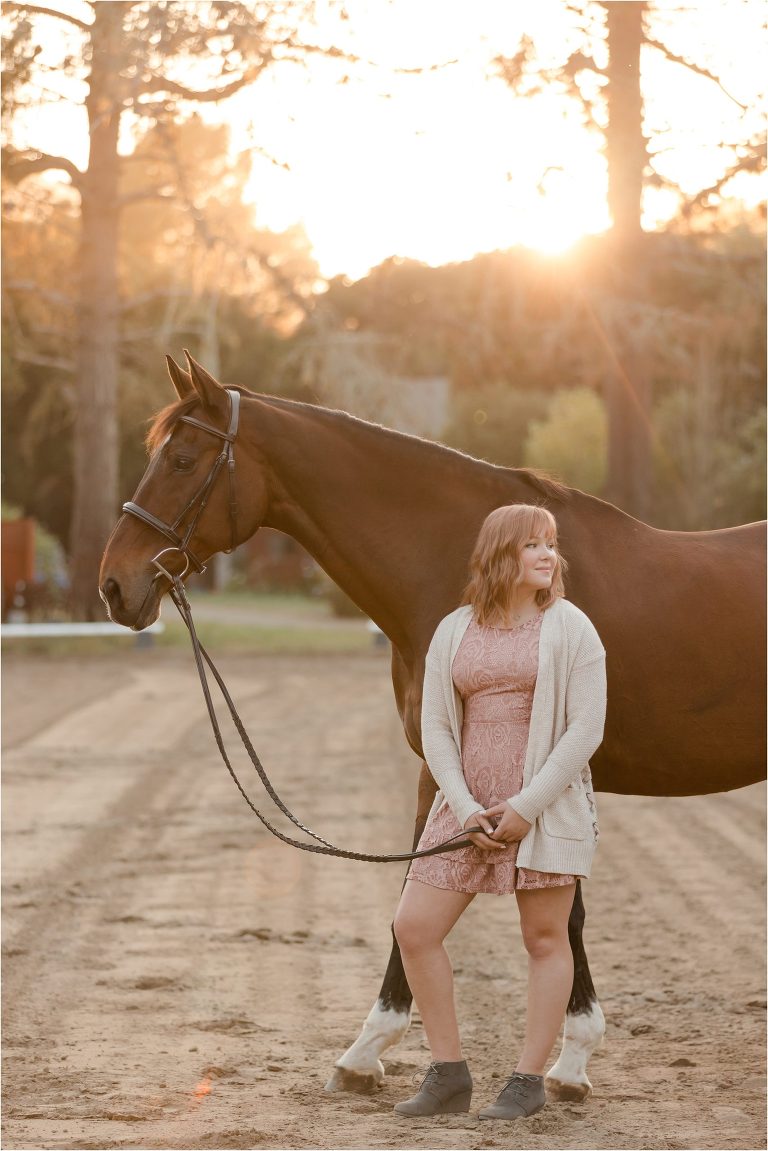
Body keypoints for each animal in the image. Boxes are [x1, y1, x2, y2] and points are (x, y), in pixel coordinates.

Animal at [99, 351, 766, 1100]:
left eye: (183, 459)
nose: (114, 584)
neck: (471, 570)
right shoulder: (450, 769)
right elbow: (437, 894)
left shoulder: (533, 773)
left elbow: (539, 905)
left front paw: (556, 1059)